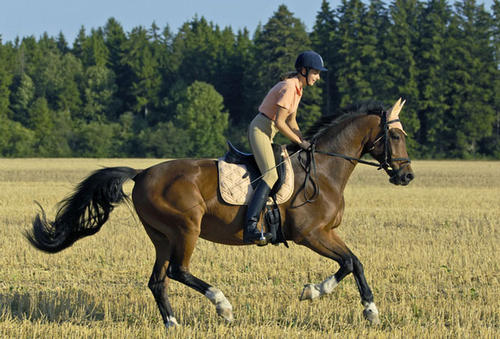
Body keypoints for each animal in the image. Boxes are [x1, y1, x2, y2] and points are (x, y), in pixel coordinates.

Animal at [25, 98, 414, 330]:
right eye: (395, 136)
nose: (407, 175)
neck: (325, 169)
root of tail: (142, 173)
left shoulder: (326, 234)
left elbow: (355, 262)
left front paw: (367, 310)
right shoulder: (312, 234)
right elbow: (349, 263)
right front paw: (322, 295)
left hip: (162, 236)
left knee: (158, 280)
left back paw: (173, 325)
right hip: (186, 228)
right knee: (179, 271)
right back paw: (223, 306)